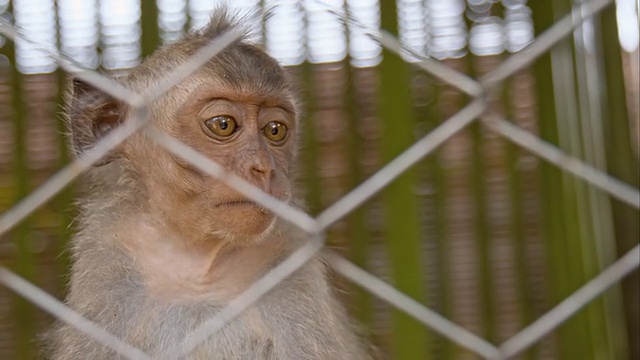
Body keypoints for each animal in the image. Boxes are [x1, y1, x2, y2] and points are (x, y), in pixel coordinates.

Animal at [46, 9, 370, 358]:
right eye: (223, 125)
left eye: (275, 130)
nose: (263, 168)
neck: (200, 266)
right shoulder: (109, 261)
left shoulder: (289, 259)